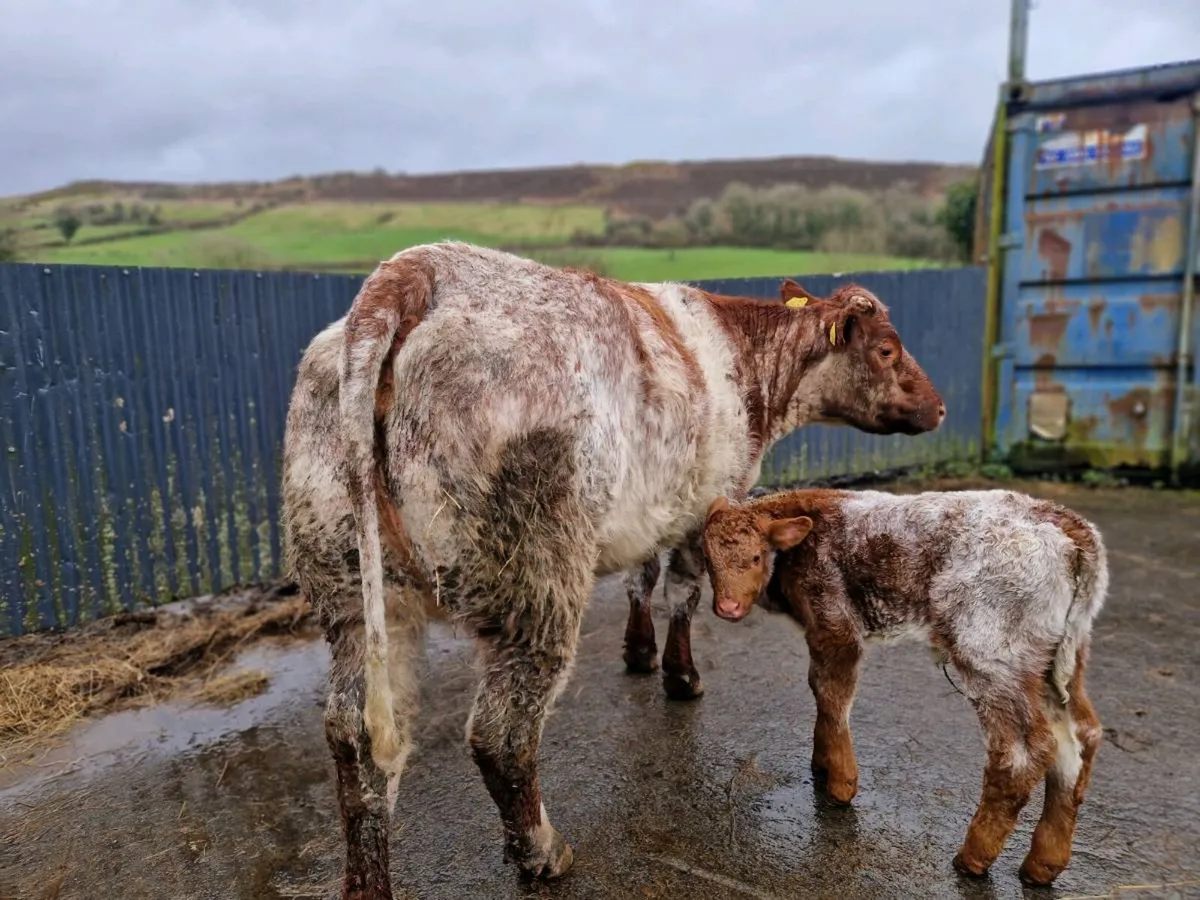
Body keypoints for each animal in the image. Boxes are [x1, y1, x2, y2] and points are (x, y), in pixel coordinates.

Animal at [281, 241, 944, 898]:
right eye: (887, 349)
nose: (938, 407)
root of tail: (412, 269)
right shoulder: (709, 505)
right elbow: (683, 591)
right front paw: (681, 674)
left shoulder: (656, 505)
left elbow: (641, 580)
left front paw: (640, 651)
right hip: (534, 580)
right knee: (500, 734)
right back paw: (543, 852)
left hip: (355, 589)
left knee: (358, 740)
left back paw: (368, 884)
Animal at [699, 487, 1107, 887]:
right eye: (707, 559)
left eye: (755, 556)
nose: (728, 607)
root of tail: (1066, 522)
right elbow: (820, 691)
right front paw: (821, 764)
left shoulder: (835, 624)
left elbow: (831, 694)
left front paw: (840, 785)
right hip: (1059, 658)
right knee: (1080, 737)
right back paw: (1044, 864)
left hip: (992, 651)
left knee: (1024, 752)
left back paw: (973, 859)